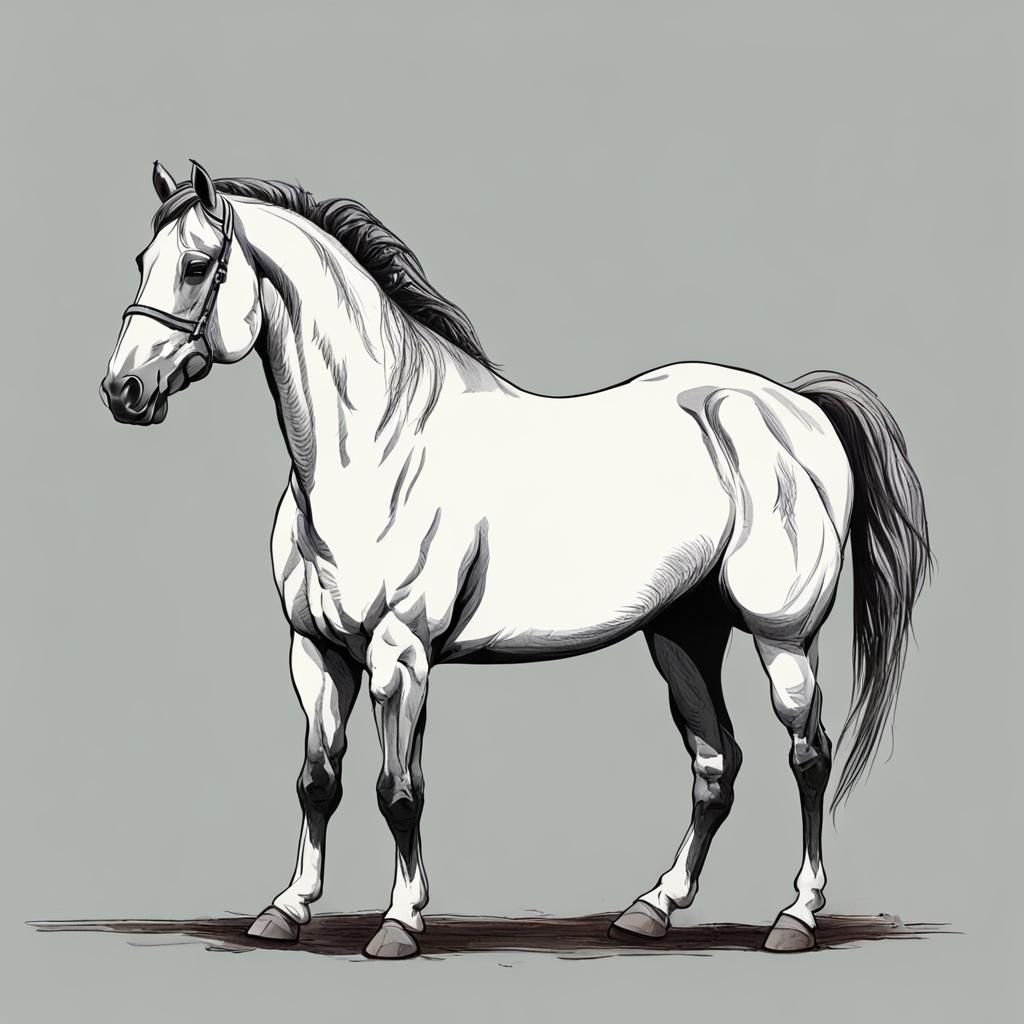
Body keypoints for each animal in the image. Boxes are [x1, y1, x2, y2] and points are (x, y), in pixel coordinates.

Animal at [101, 160, 931, 959]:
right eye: (141, 259)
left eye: (197, 265)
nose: (123, 390)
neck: (379, 445)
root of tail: (796, 405)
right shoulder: (316, 652)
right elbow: (317, 782)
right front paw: (286, 910)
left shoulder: (400, 655)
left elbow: (398, 790)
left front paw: (399, 924)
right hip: (682, 636)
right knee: (715, 767)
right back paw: (652, 910)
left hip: (781, 636)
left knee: (809, 757)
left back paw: (796, 917)